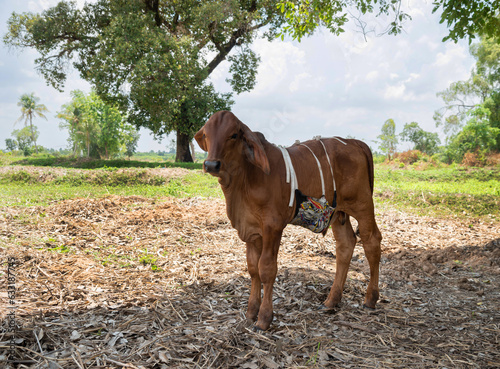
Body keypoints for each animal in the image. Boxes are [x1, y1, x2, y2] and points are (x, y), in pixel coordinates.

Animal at [195, 110, 382, 330]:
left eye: (233, 135)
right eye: (206, 134)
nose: (211, 164)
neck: (244, 182)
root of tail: (354, 142)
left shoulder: (272, 226)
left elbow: (266, 269)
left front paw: (264, 318)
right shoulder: (251, 229)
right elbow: (253, 268)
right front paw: (251, 312)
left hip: (363, 205)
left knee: (372, 242)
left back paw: (371, 298)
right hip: (338, 212)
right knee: (346, 245)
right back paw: (331, 300)